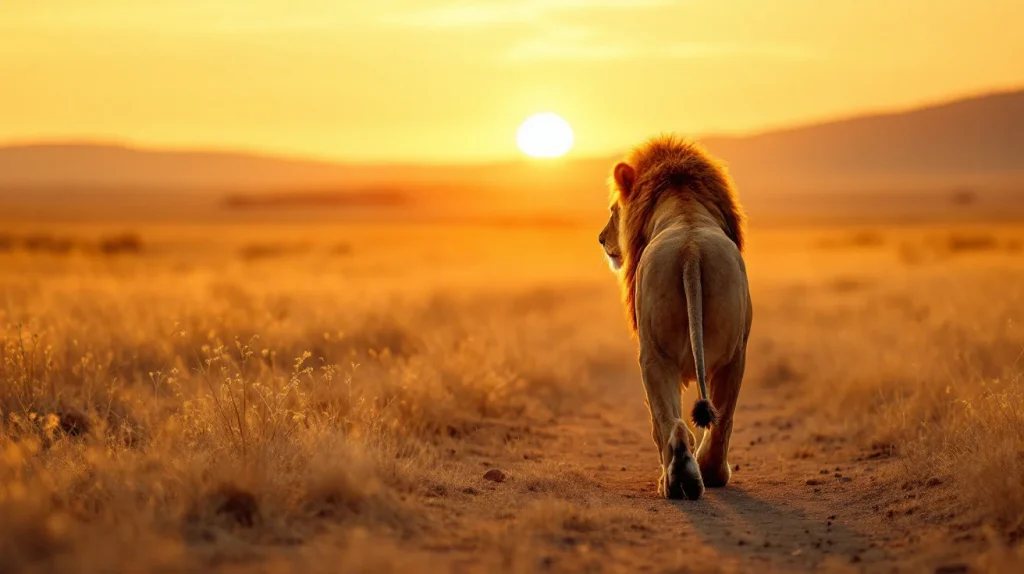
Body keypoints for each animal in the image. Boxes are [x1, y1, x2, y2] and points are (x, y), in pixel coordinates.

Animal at [598, 135, 752, 500]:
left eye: (613, 210)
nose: (601, 238)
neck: (684, 204)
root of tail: (690, 252)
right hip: (734, 352)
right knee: (720, 419)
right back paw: (701, 474)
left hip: (654, 353)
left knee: (667, 422)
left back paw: (678, 479)